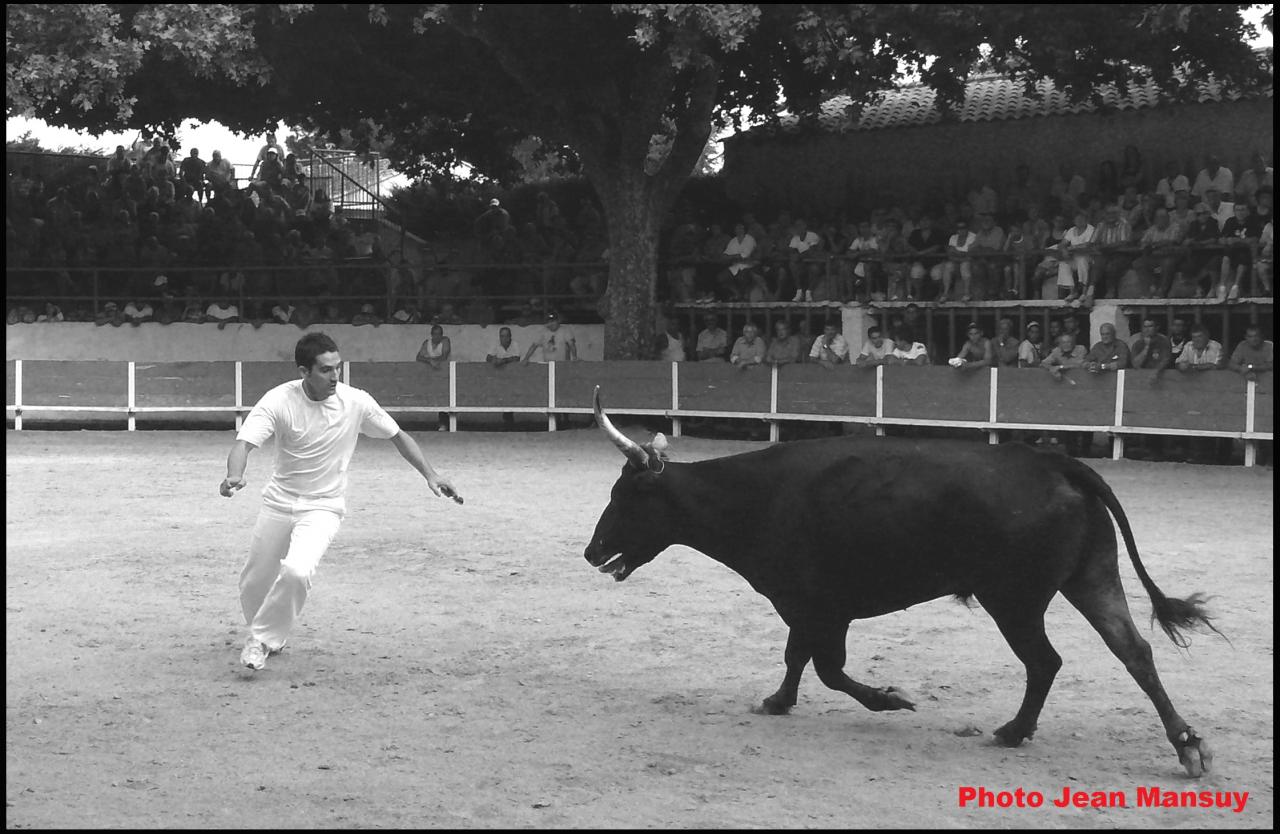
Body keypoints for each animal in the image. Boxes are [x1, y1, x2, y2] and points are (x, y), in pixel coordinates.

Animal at [586, 388, 1213, 777]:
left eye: (624, 497)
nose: (591, 552)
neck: (754, 498)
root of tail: (1055, 462)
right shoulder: (807, 609)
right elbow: (799, 659)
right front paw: (778, 701)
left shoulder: (818, 607)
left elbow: (826, 667)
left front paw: (891, 699)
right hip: (1092, 578)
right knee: (1134, 651)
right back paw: (1187, 746)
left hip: (1012, 600)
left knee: (1045, 662)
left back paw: (1012, 732)